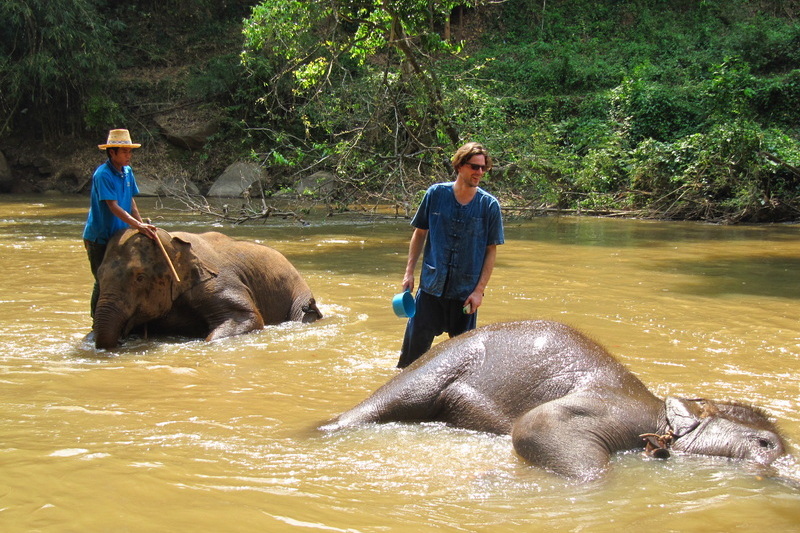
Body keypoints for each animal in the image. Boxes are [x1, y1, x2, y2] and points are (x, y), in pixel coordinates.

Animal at [92, 228, 322, 350]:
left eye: (140, 278)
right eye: (99, 276)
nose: (121, 340)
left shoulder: (213, 282)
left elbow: (247, 317)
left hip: (298, 293)